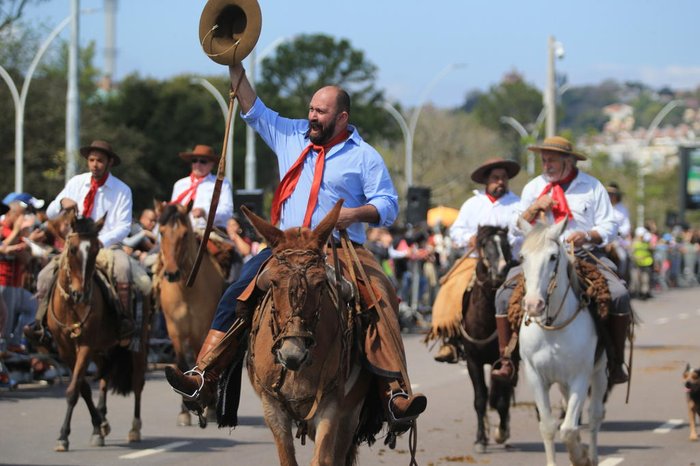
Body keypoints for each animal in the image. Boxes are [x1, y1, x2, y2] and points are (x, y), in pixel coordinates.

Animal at [47, 212, 148, 452]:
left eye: (95, 249)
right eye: (72, 249)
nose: (80, 294)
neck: (71, 307)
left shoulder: (85, 345)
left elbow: (74, 390)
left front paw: (63, 436)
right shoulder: (65, 349)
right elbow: (82, 387)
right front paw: (97, 426)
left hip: (139, 344)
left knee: (137, 382)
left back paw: (134, 428)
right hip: (103, 349)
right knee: (104, 379)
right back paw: (102, 419)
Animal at [154, 202, 226, 428]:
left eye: (184, 234)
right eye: (161, 232)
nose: (171, 273)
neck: (185, 290)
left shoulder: (199, 330)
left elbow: (201, 360)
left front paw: (208, 407)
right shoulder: (174, 331)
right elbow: (182, 364)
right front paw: (184, 411)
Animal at [243, 202, 380, 466]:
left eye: (319, 283)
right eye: (273, 282)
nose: (292, 354)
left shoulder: (331, 405)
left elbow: (323, 459)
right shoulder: (272, 407)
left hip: (349, 414)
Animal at [456, 226, 516, 452]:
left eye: (506, 245)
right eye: (483, 245)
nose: (499, 272)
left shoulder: (508, 360)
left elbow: (502, 399)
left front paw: (502, 432)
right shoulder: (473, 361)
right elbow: (480, 399)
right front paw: (480, 439)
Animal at [516, 219, 608, 466]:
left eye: (553, 257)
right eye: (522, 257)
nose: (533, 304)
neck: (553, 326)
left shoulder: (580, 377)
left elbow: (567, 429)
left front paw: (580, 457)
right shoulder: (536, 377)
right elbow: (549, 427)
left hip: (600, 373)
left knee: (594, 417)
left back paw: (592, 455)